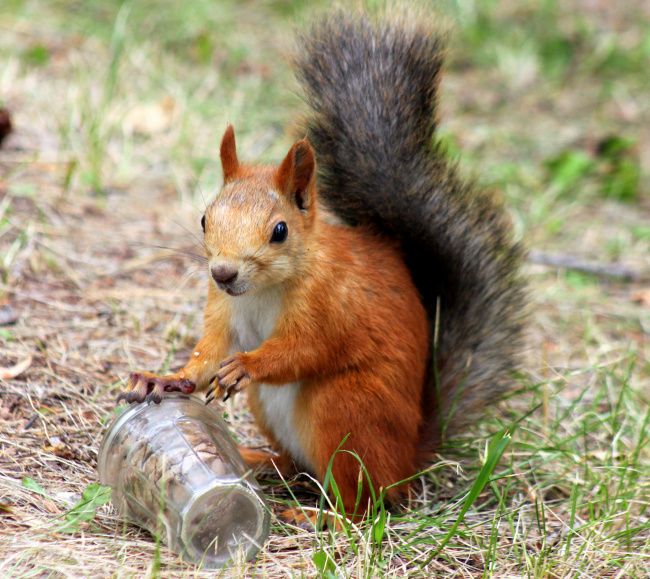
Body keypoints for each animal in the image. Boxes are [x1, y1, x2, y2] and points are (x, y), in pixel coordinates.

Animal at [117, 9, 528, 520]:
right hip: (274, 412)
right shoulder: (221, 308)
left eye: (279, 230)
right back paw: (262, 462)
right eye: (205, 218)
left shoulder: (330, 303)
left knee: (362, 504)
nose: (224, 272)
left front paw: (247, 364)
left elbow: (306, 350)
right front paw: (165, 379)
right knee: (302, 468)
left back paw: (316, 515)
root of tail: (408, 462)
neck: (263, 289)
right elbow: (206, 354)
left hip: (345, 408)